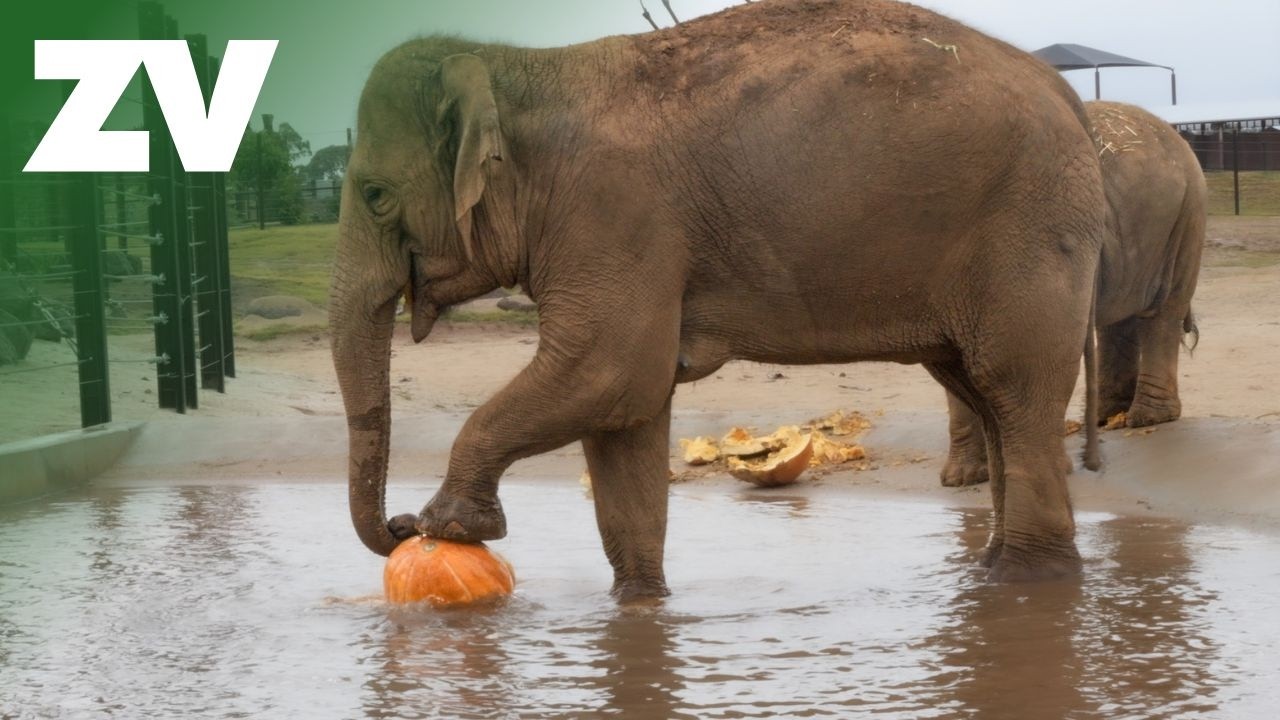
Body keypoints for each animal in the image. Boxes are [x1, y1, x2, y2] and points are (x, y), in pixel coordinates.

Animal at [330, 0, 1106, 601]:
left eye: (374, 194)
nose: (397, 527)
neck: (510, 67)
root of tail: (1067, 97)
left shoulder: (614, 217)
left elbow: (608, 373)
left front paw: (453, 525)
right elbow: (625, 415)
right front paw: (640, 605)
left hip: (1030, 233)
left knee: (1013, 388)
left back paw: (1025, 584)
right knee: (980, 389)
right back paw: (993, 573)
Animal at [941, 100, 1207, 487]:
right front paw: (963, 479)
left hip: (1186, 218)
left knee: (1163, 311)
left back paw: (1147, 418)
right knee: (1120, 318)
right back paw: (1107, 417)